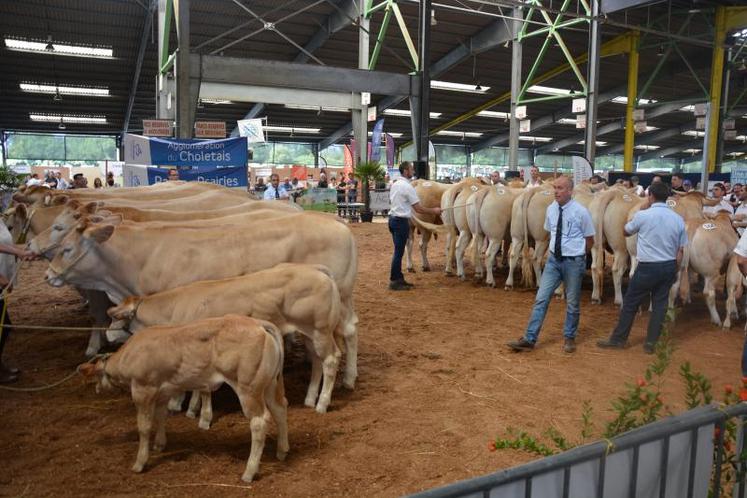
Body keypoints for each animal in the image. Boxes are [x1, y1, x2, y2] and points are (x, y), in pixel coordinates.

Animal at [80, 316, 288, 482]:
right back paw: (282, 451)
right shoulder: (163, 392)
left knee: (259, 422)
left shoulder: (142, 389)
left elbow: (144, 427)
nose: (97, 389)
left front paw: (140, 462)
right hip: (269, 384)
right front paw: (160, 444)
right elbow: (161, 416)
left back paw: (249, 472)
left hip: (248, 388)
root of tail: (257, 323)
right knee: (280, 409)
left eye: (97, 377)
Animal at [106, 262, 344, 414]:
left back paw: (322, 404)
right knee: (317, 361)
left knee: (331, 359)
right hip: (310, 333)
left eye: (117, 317)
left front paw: (184, 406)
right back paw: (310, 399)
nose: (107, 332)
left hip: (321, 329)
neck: (175, 307)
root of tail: (316, 269)